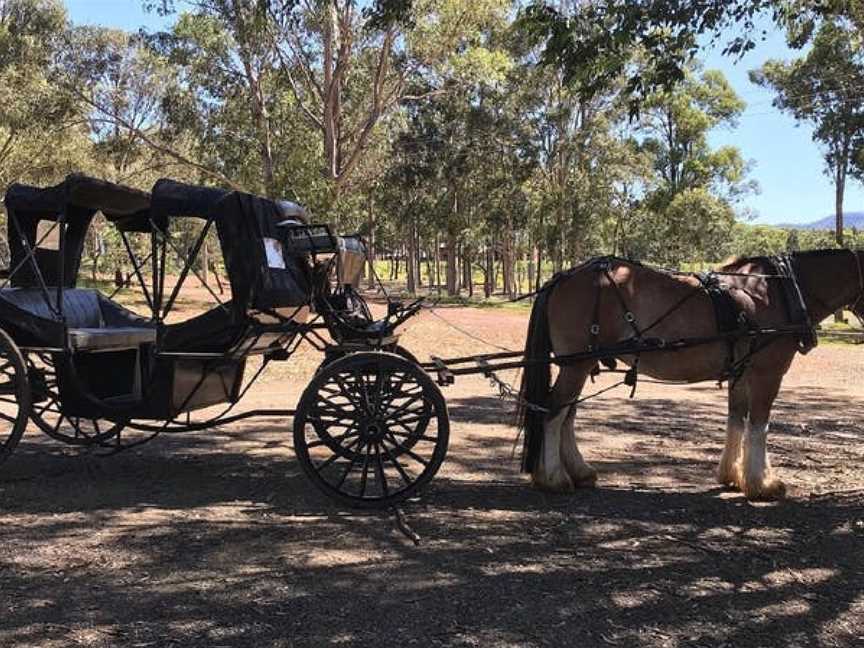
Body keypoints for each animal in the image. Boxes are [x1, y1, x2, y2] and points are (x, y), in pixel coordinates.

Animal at [516, 248, 860, 502]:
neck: (779, 289)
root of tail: (560, 278)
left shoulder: (741, 373)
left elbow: (737, 420)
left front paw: (731, 476)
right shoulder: (767, 372)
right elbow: (759, 426)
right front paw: (762, 484)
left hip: (580, 364)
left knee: (567, 415)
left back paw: (579, 471)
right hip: (575, 364)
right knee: (554, 412)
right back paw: (555, 478)